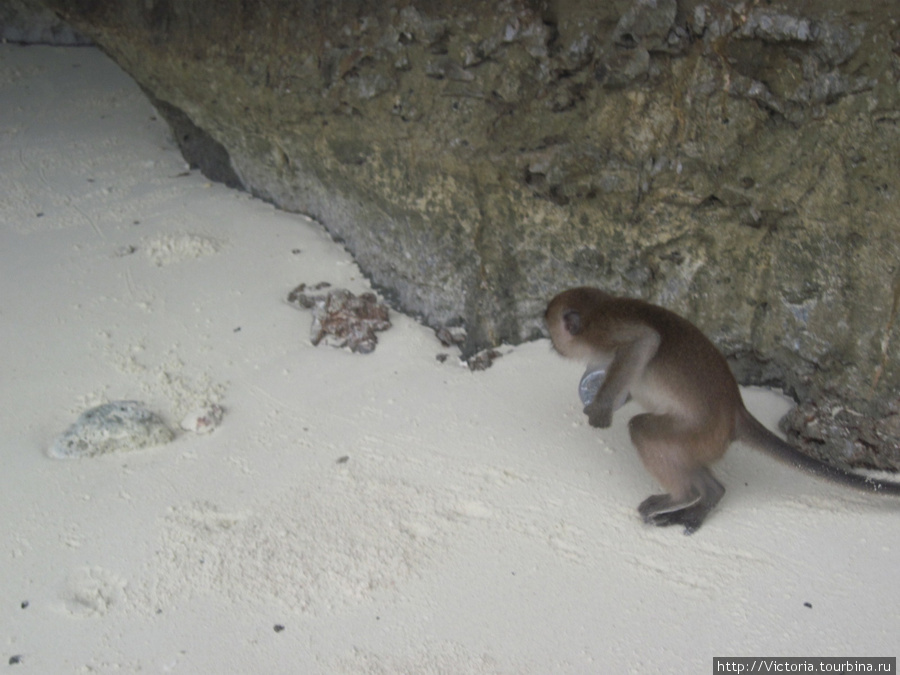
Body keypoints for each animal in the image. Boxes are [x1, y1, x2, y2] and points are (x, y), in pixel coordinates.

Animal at [540, 286, 900, 532]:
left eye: (551, 331)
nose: (551, 345)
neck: (599, 307)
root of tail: (735, 411)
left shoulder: (603, 331)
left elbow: (645, 340)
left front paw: (601, 408)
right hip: (703, 440)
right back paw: (709, 495)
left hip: (700, 432)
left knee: (642, 428)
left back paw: (681, 495)